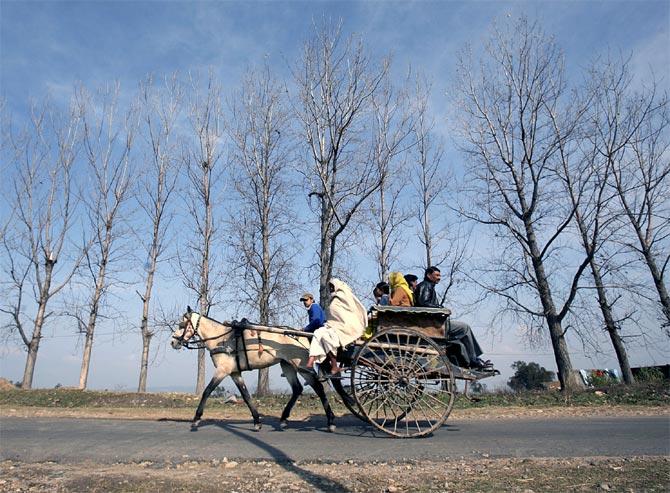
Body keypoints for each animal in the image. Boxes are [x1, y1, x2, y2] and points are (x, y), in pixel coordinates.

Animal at [171, 306, 338, 432]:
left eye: (181, 325)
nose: (173, 342)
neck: (221, 339)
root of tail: (302, 336)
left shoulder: (222, 370)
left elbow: (207, 391)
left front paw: (196, 419)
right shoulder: (234, 373)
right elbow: (246, 395)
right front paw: (257, 421)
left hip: (301, 366)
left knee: (318, 387)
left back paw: (330, 421)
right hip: (288, 365)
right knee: (297, 389)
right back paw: (284, 419)